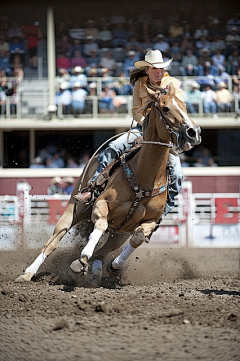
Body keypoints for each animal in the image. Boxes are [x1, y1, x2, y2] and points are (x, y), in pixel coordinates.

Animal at [13, 83, 201, 286]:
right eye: (165, 108)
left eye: (185, 106)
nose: (193, 132)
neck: (144, 178)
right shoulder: (101, 204)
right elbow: (100, 225)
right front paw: (82, 259)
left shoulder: (149, 222)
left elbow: (137, 239)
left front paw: (112, 266)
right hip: (74, 209)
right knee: (52, 242)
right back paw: (28, 274)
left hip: (118, 234)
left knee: (101, 253)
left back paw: (93, 273)